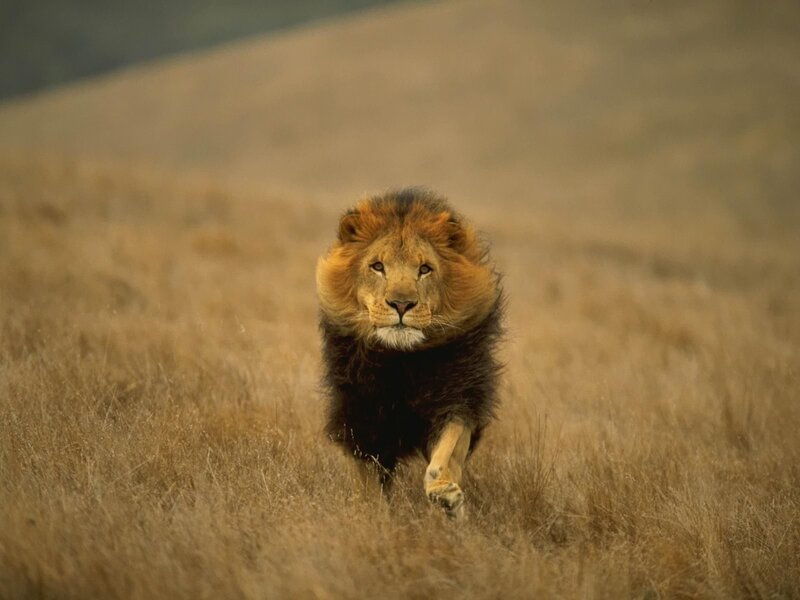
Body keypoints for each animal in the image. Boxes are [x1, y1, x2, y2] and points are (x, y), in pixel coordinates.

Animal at [316, 188, 503, 519]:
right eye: (378, 266)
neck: (401, 362)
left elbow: (447, 452)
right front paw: (371, 515)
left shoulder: (457, 398)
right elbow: (367, 482)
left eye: (425, 269)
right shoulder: (361, 418)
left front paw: (445, 494)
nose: (401, 304)